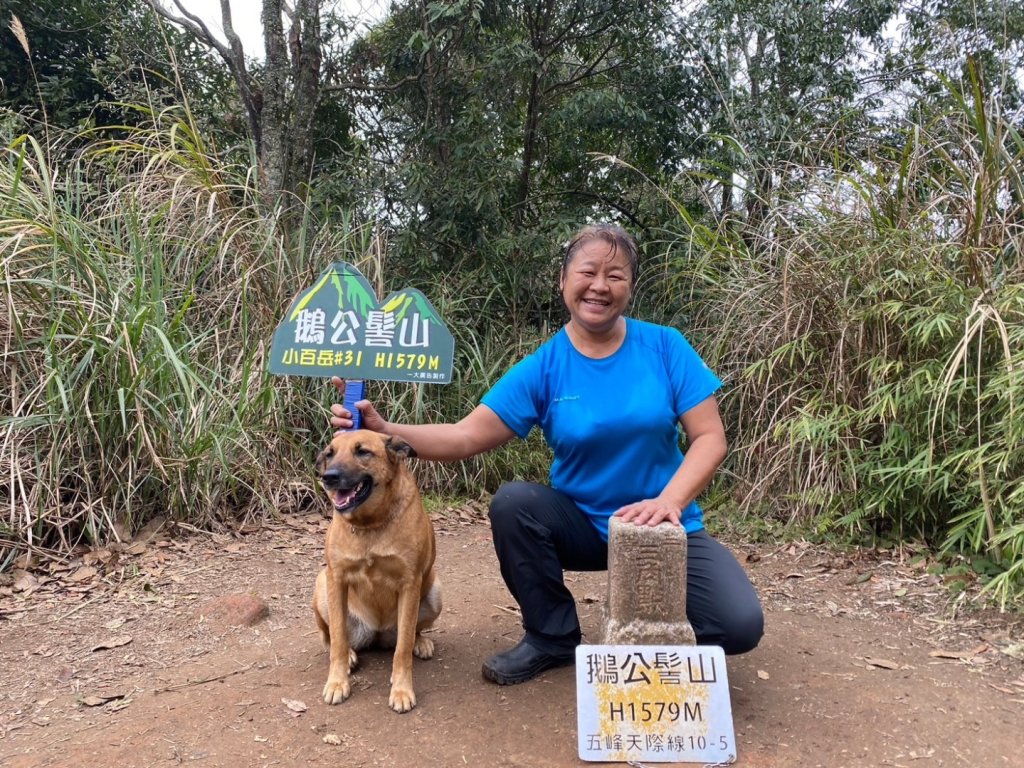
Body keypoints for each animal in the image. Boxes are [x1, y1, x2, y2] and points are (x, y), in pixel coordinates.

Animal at [309, 434, 442, 716]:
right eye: (330, 454)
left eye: (363, 452)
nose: (328, 477)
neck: (369, 524)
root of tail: (378, 632)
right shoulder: (336, 579)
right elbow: (338, 639)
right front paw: (337, 682)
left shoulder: (410, 584)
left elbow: (402, 649)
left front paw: (402, 690)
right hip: (322, 585)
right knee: (330, 637)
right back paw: (350, 654)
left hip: (436, 591)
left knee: (412, 632)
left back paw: (420, 643)